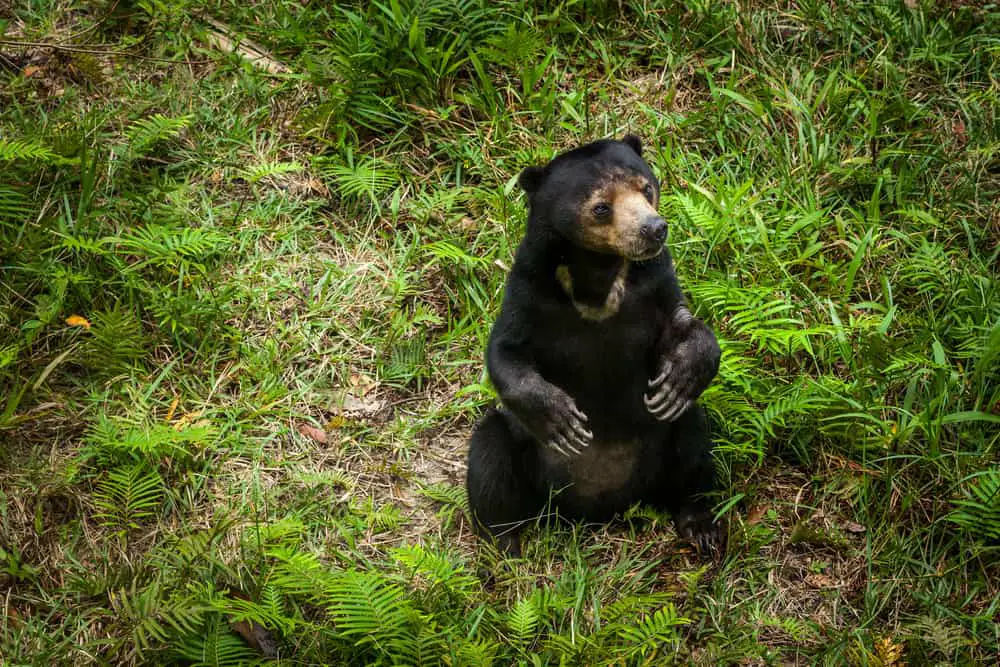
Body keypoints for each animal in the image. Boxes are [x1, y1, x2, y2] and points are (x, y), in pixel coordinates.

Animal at [464, 136, 724, 560]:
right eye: (601, 207)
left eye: (646, 188)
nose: (655, 229)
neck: (598, 272)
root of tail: (599, 510)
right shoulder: (528, 288)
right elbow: (506, 351)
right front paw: (562, 420)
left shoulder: (656, 284)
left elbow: (684, 326)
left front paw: (679, 379)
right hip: (525, 459)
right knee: (490, 454)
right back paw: (503, 546)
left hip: (662, 449)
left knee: (691, 443)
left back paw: (699, 525)